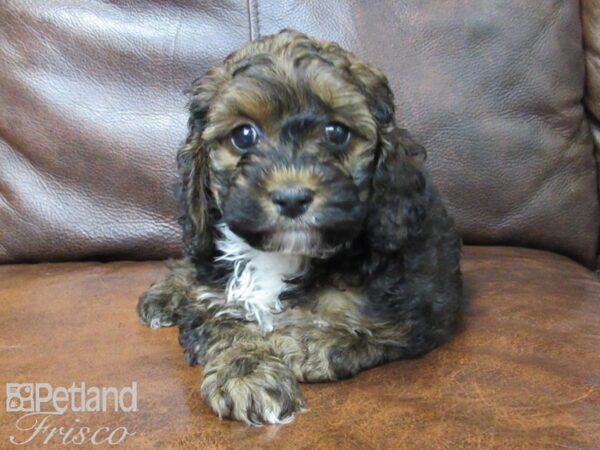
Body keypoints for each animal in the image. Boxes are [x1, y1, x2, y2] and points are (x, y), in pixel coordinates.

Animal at [139, 29, 464, 426]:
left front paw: (300, 343)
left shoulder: (418, 309)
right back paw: (163, 294)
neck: (284, 254)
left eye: (336, 132)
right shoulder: (210, 300)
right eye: (243, 135)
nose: (291, 198)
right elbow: (224, 325)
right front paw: (246, 374)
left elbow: (366, 331)